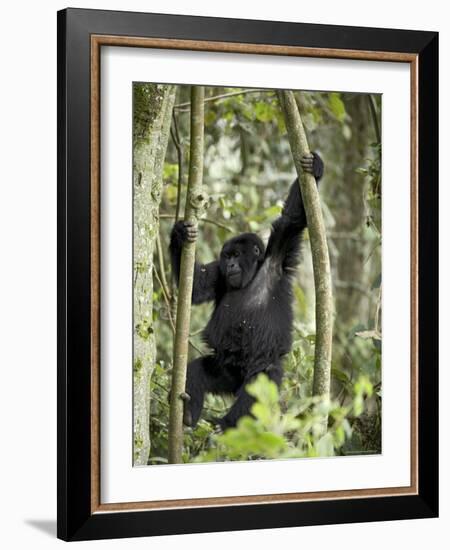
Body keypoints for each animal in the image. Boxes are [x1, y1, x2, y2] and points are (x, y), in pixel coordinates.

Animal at [170, 153, 324, 434]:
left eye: (236, 255)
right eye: (227, 256)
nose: (230, 264)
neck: (252, 274)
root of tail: (237, 380)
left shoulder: (279, 254)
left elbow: (293, 219)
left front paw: (315, 167)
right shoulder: (219, 275)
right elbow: (198, 286)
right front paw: (179, 234)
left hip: (261, 371)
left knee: (254, 392)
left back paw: (228, 423)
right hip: (225, 371)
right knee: (199, 370)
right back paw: (187, 415)